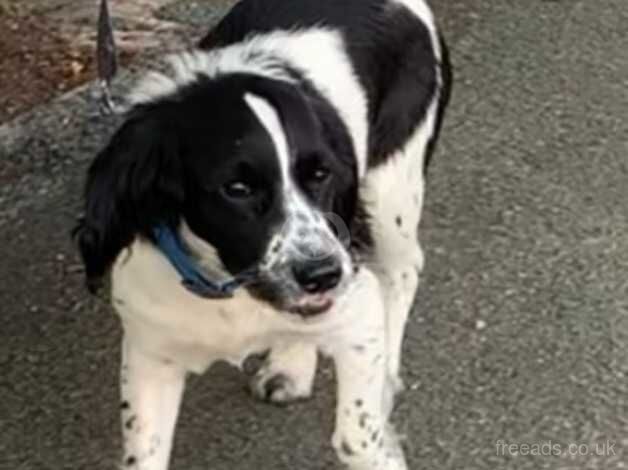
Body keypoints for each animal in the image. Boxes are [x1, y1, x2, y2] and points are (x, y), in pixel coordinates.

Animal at [75, 0, 452, 470]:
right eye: (236, 189)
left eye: (322, 174)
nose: (322, 274)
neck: (228, 287)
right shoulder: (151, 355)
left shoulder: (358, 305)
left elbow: (356, 437)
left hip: (391, 190)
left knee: (403, 270)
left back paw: (383, 376)